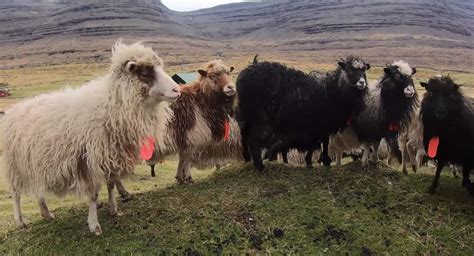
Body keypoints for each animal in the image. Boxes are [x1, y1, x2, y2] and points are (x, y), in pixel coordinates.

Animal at [237, 57, 370, 171]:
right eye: (349, 70)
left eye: (364, 71)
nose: (362, 83)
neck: (334, 90)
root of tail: (244, 74)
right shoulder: (319, 123)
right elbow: (322, 142)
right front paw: (322, 162)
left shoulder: (317, 125)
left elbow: (319, 143)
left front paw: (312, 162)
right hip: (259, 117)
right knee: (253, 141)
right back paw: (260, 167)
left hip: (246, 117)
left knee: (244, 137)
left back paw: (247, 159)